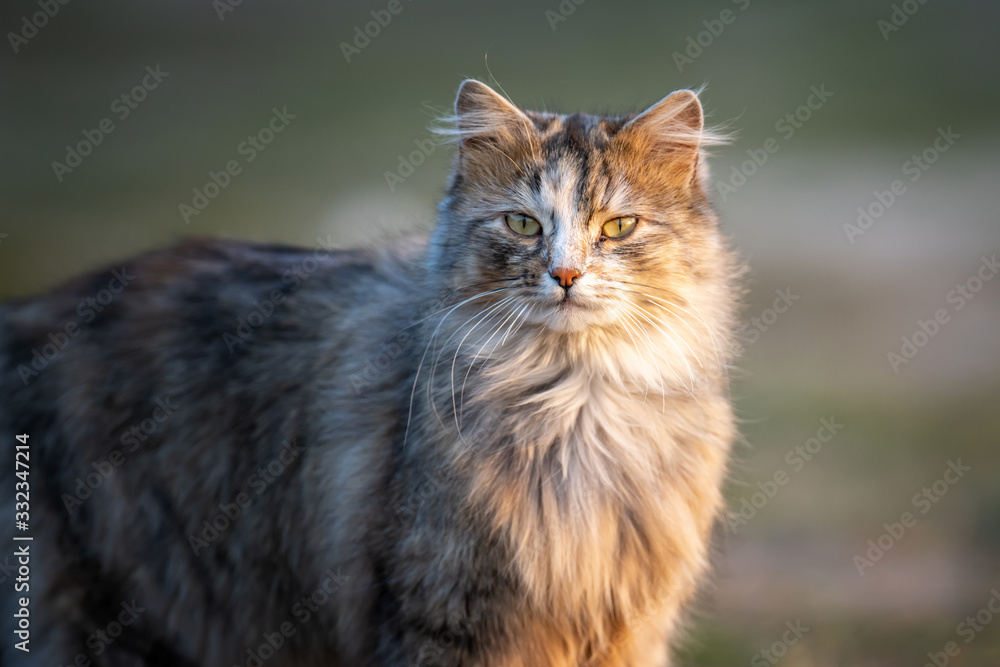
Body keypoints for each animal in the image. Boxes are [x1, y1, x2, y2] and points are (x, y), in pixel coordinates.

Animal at [1, 81, 744, 664]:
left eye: (618, 227)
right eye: (522, 224)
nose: (564, 275)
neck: (574, 403)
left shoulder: (627, 627)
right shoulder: (443, 607)